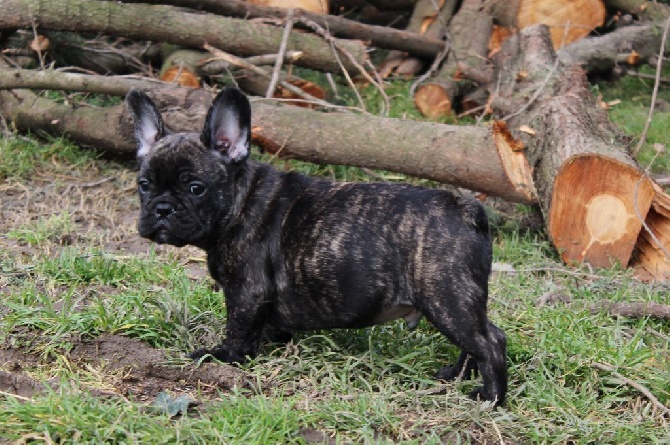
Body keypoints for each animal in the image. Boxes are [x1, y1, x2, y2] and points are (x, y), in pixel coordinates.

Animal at [124, 87, 510, 406]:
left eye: (196, 188)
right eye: (144, 184)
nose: (162, 208)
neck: (240, 200)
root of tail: (465, 208)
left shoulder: (247, 291)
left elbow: (238, 326)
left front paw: (225, 357)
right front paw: (274, 340)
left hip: (446, 297)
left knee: (489, 342)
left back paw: (489, 398)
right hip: (458, 300)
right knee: (477, 339)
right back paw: (456, 376)